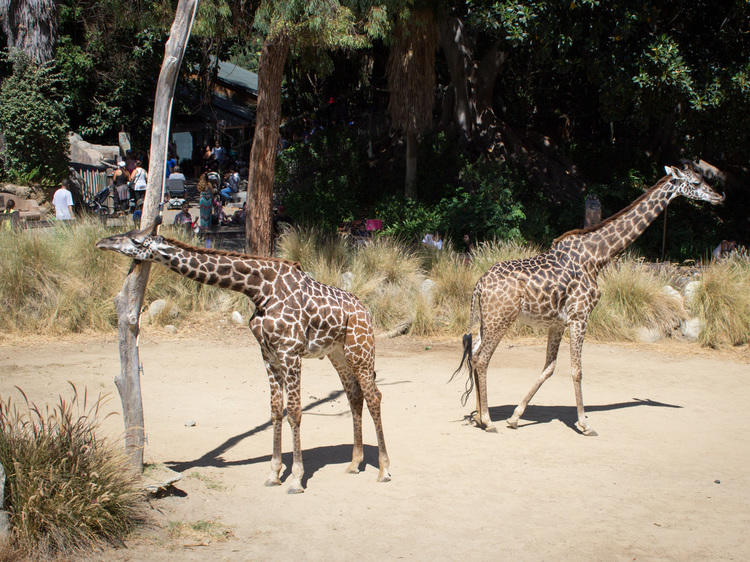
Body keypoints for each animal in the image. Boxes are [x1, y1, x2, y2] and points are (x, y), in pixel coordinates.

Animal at [98, 219, 394, 490]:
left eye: (135, 240)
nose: (102, 242)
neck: (258, 290)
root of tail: (366, 310)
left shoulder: (290, 352)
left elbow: (294, 411)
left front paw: (296, 478)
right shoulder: (268, 354)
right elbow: (275, 410)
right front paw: (273, 473)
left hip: (360, 349)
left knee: (375, 397)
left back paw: (383, 470)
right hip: (338, 354)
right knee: (354, 396)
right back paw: (354, 464)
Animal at [452, 162, 728, 434]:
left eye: (703, 178)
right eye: (695, 182)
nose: (719, 196)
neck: (597, 257)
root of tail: (479, 285)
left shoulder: (558, 323)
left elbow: (549, 368)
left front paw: (515, 417)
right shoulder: (580, 316)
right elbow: (577, 370)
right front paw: (584, 424)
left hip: (487, 320)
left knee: (474, 355)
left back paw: (478, 416)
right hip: (501, 318)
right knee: (481, 358)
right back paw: (488, 421)